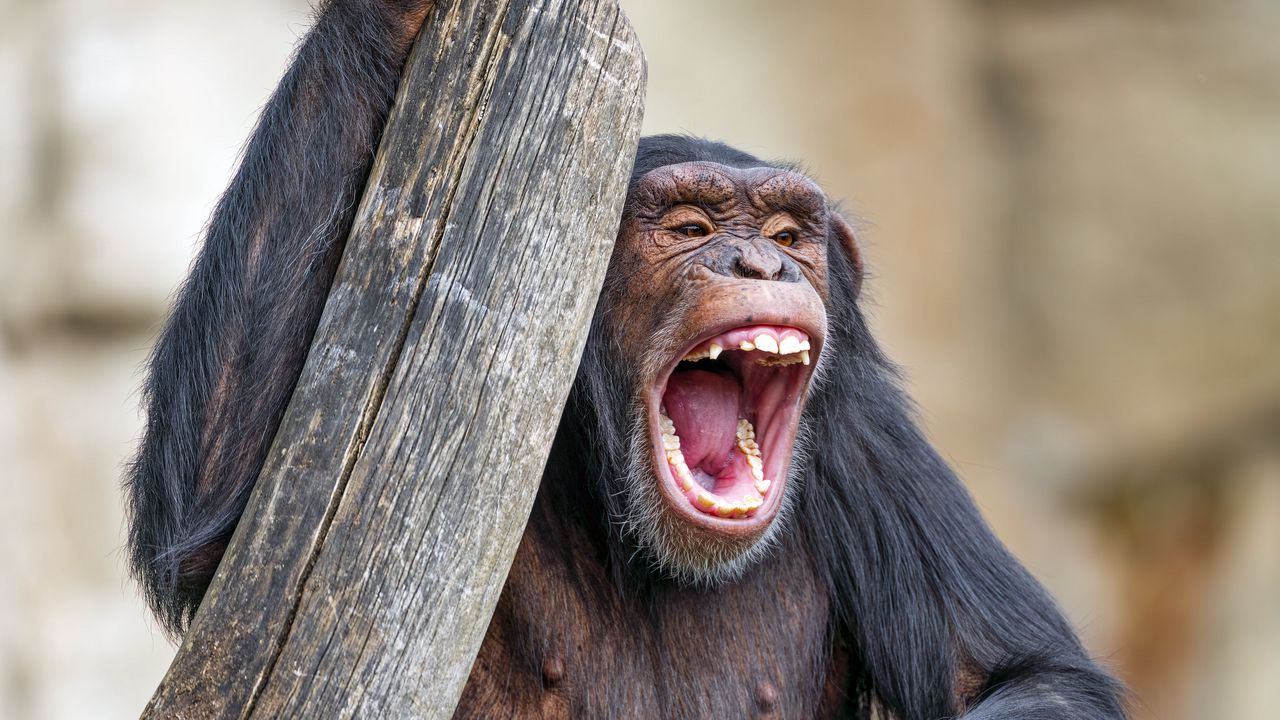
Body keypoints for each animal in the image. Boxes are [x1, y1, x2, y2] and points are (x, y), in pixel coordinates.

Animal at [125, 2, 1127, 717]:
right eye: (688, 228)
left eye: (787, 235)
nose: (759, 263)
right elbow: (230, 525)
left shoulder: (866, 445)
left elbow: (1019, 674)